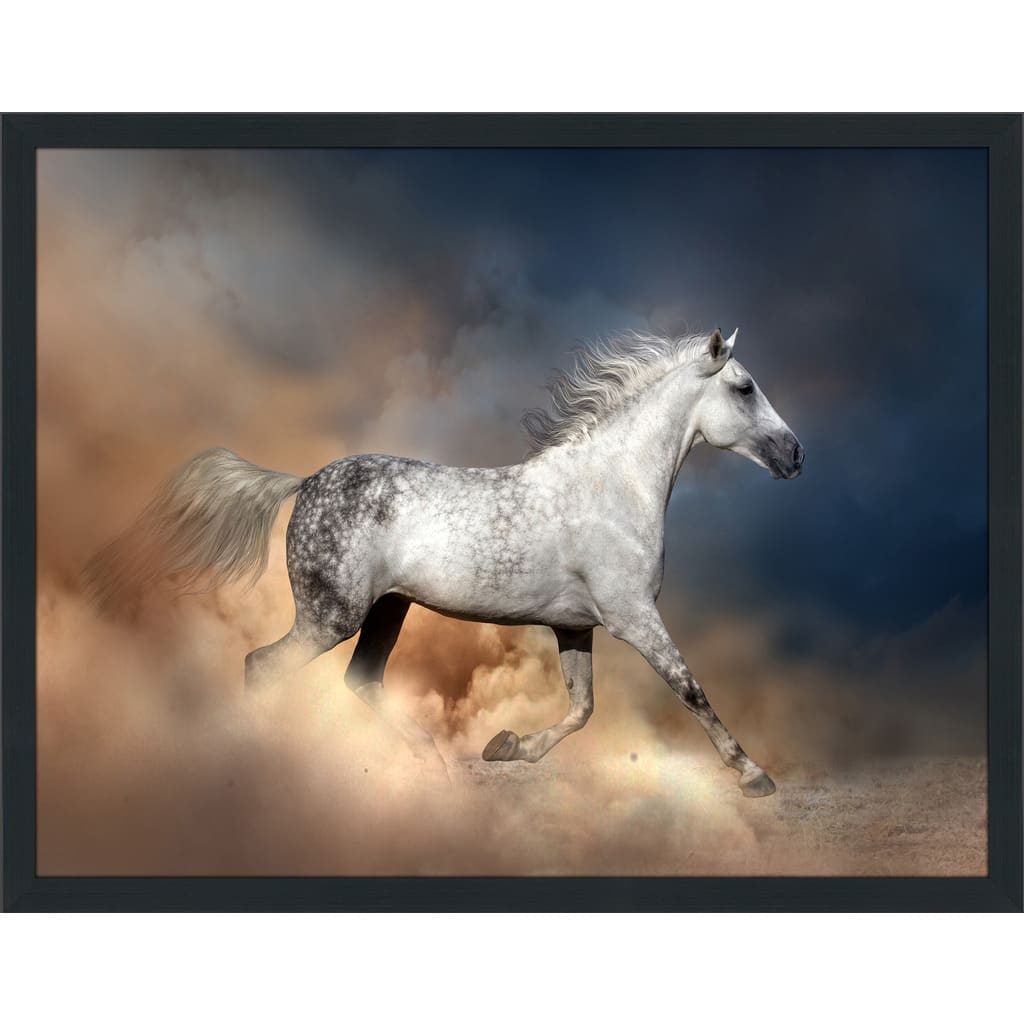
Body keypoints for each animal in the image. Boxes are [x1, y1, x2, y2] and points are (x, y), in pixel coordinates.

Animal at [85, 327, 803, 797]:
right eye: (744, 388)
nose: (796, 455)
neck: (610, 488)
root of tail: (304, 481)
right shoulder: (633, 617)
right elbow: (690, 689)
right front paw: (754, 776)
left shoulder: (576, 625)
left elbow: (583, 708)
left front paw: (506, 747)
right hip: (331, 615)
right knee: (262, 667)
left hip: (387, 611)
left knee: (361, 681)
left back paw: (434, 761)